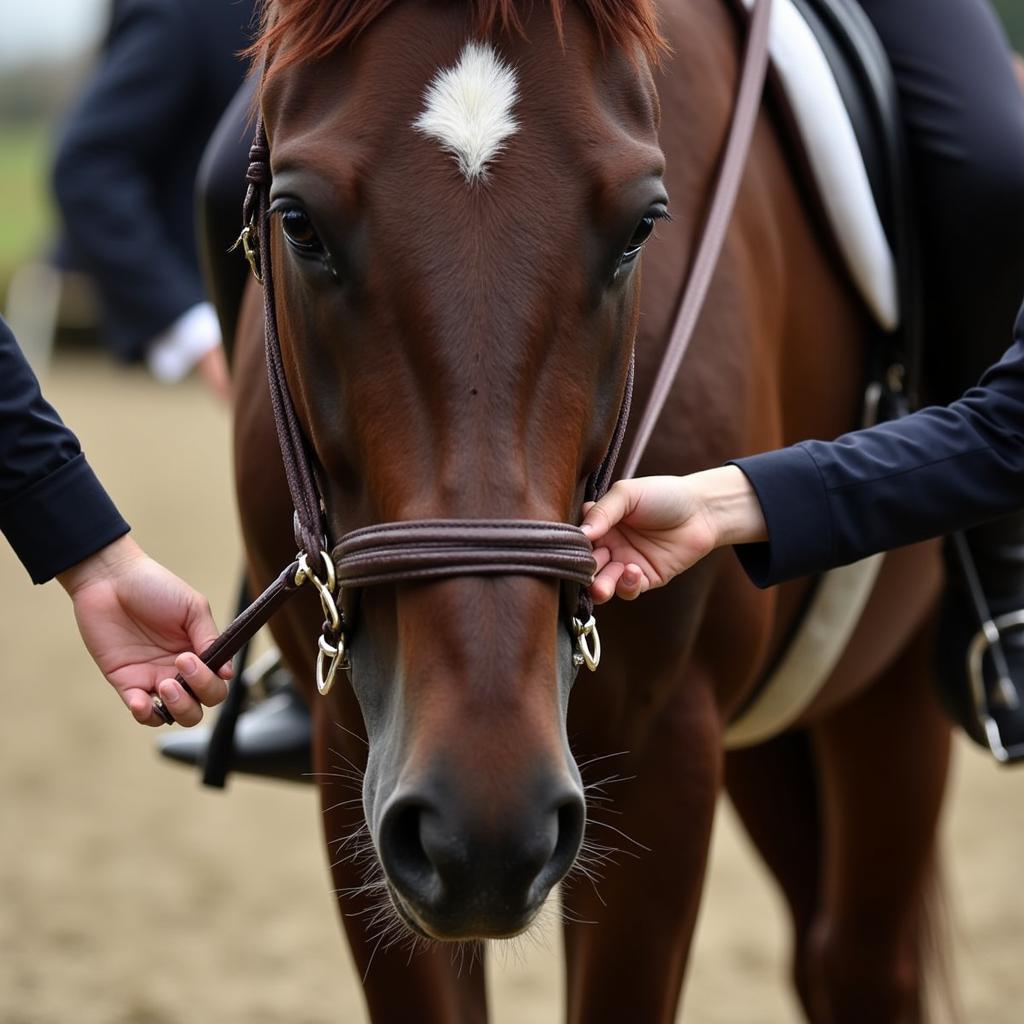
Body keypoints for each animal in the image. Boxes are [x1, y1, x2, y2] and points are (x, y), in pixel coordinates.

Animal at [228, 2, 946, 1015]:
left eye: (642, 226)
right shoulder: (355, 762)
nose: (486, 820)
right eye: (298, 222)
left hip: (893, 694)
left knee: (862, 964)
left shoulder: (664, 753)